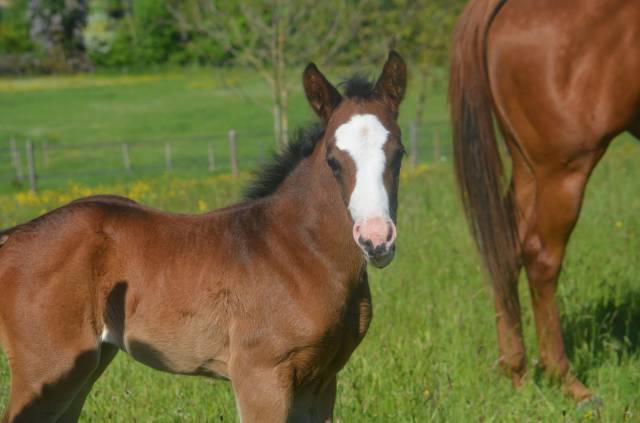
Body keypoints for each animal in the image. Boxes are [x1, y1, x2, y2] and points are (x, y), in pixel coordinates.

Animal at [0, 51, 407, 422]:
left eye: (399, 153)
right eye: (333, 159)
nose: (376, 239)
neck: (301, 251)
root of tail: (11, 237)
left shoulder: (321, 380)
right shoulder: (260, 375)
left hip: (83, 367)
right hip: (45, 369)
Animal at [449, 0, 640, 401]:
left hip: (526, 168)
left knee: (506, 251)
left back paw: (516, 371)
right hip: (563, 171)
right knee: (541, 257)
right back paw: (565, 380)